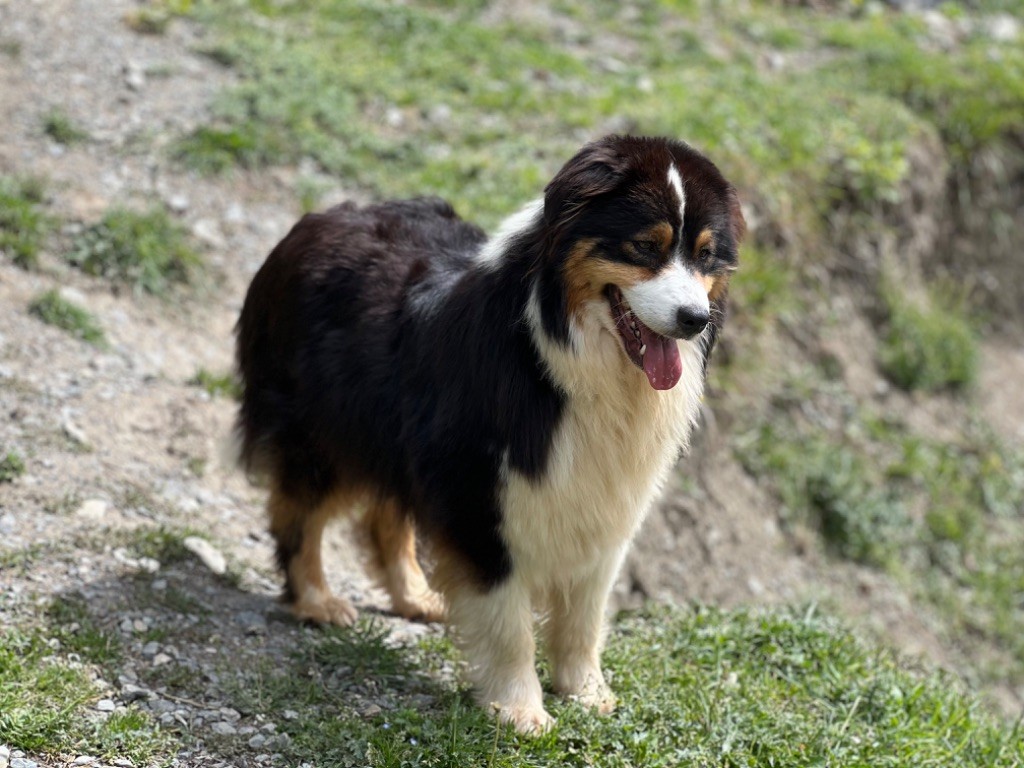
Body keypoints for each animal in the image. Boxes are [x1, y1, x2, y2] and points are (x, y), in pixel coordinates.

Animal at [233, 135, 745, 737]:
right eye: (646, 246)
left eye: (706, 256)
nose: (694, 318)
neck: (564, 362)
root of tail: (313, 221)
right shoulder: (476, 489)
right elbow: (506, 617)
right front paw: (520, 710)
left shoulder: (606, 494)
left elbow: (586, 611)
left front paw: (587, 694)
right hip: (321, 430)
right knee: (299, 512)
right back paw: (316, 600)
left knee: (387, 513)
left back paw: (416, 597)